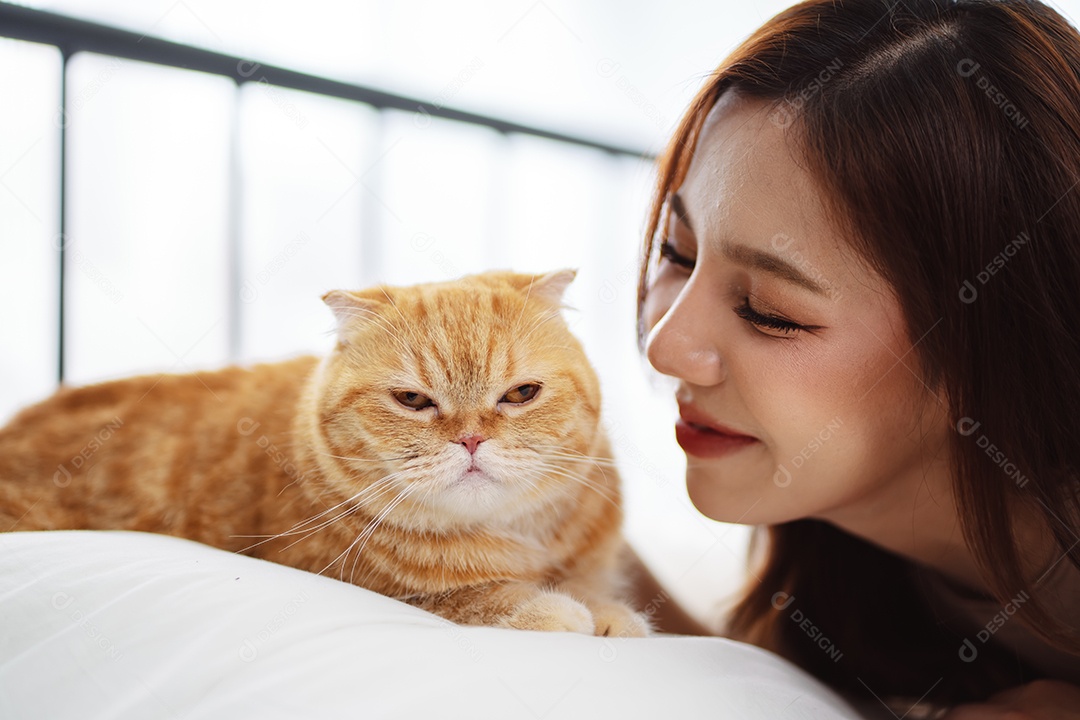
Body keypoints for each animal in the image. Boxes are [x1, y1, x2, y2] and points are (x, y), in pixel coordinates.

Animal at [0, 269, 648, 634]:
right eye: (413, 400)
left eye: (520, 394)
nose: (470, 439)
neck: (521, 540)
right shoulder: (375, 588)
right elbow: (475, 599)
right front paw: (562, 610)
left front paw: (607, 610)